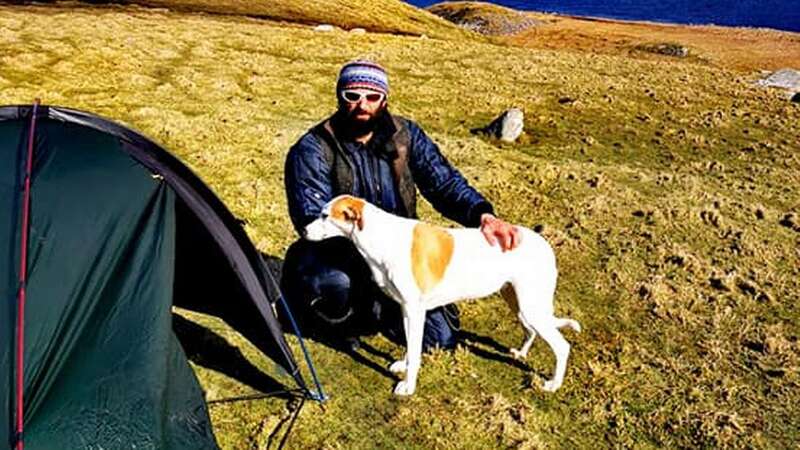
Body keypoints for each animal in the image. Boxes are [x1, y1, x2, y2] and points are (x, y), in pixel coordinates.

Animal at [304, 195, 580, 396]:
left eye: (325, 215)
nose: (304, 231)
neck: (381, 237)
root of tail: (544, 244)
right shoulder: (408, 311)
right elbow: (409, 345)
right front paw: (403, 365)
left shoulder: (415, 311)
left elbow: (415, 351)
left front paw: (408, 386)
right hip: (518, 301)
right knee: (530, 330)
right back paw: (521, 354)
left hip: (531, 307)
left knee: (562, 346)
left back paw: (553, 384)